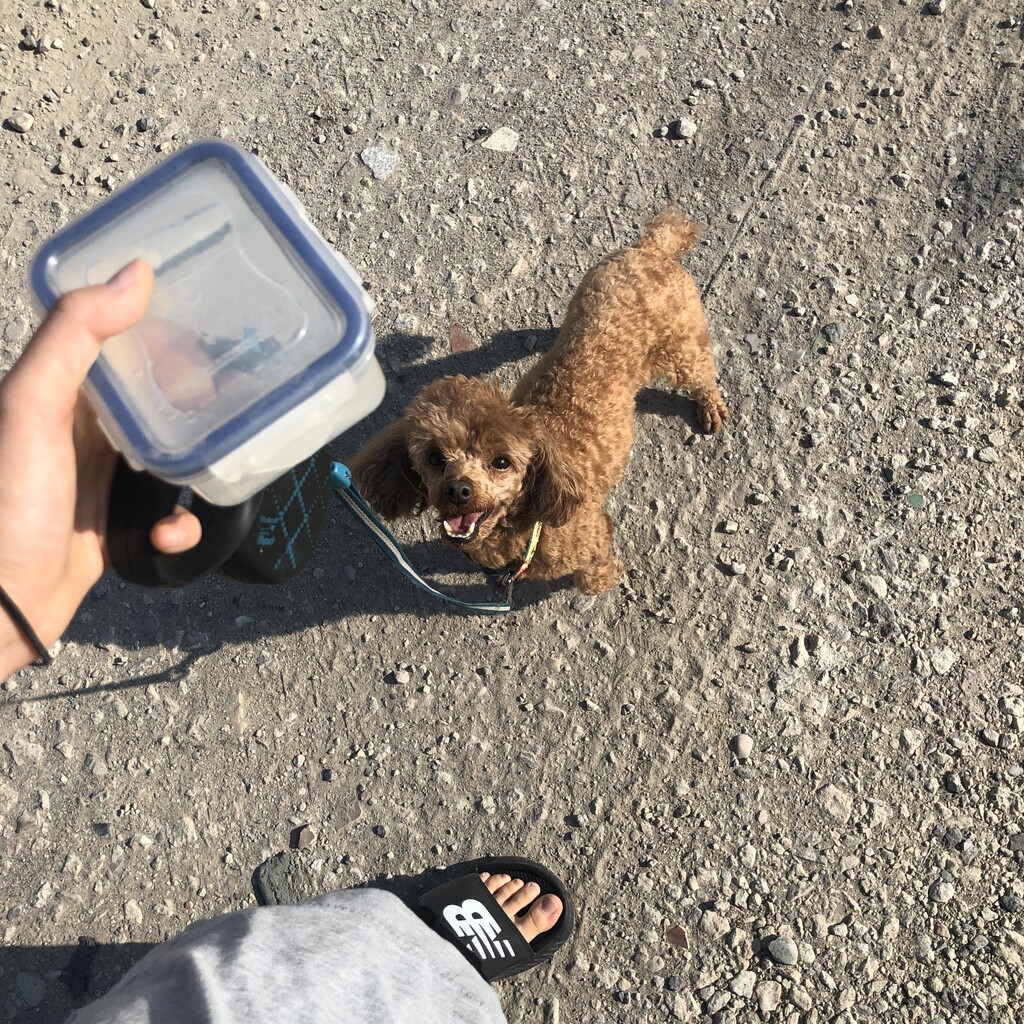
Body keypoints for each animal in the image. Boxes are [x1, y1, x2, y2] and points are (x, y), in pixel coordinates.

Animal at [348, 206, 728, 595]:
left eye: (501, 462)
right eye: (435, 458)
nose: (458, 490)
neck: (529, 518)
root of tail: (653, 247)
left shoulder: (593, 539)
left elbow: (592, 576)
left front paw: (604, 580)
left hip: (681, 346)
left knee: (702, 372)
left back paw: (711, 407)